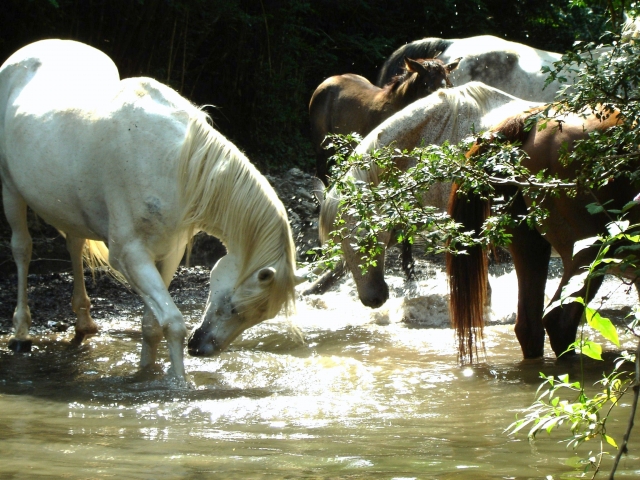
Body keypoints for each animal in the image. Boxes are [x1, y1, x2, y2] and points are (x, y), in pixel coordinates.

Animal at [0, 39, 299, 383]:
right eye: (235, 307)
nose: (201, 348)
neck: (176, 163)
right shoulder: (129, 255)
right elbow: (173, 322)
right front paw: (179, 384)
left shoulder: (169, 252)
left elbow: (151, 326)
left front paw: (146, 374)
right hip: (10, 190)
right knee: (22, 249)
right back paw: (21, 334)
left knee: (74, 245)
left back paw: (84, 322)